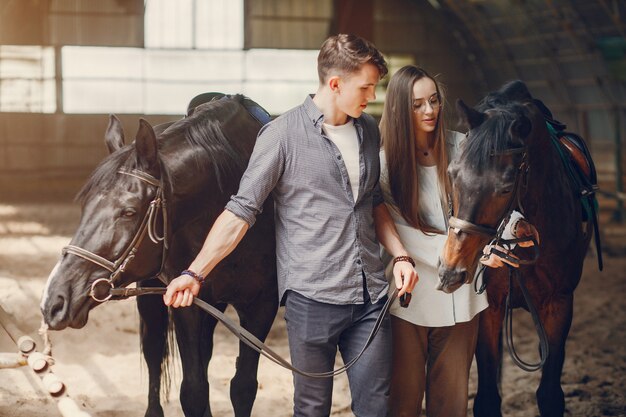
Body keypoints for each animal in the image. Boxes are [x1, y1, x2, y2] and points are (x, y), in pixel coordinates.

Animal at [40, 95, 276, 416]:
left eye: (129, 212)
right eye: (85, 206)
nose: (54, 302)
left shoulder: (262, 307)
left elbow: (243, 387)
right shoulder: (187, 304)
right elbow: (194, 390)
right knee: (154, 352)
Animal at [436, 81, 592, 416]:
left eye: (506, 187)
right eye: (452, 173)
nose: (450, 270)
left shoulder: (559, 304)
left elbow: (550, 394)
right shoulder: (491, 305)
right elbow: (486, 398)